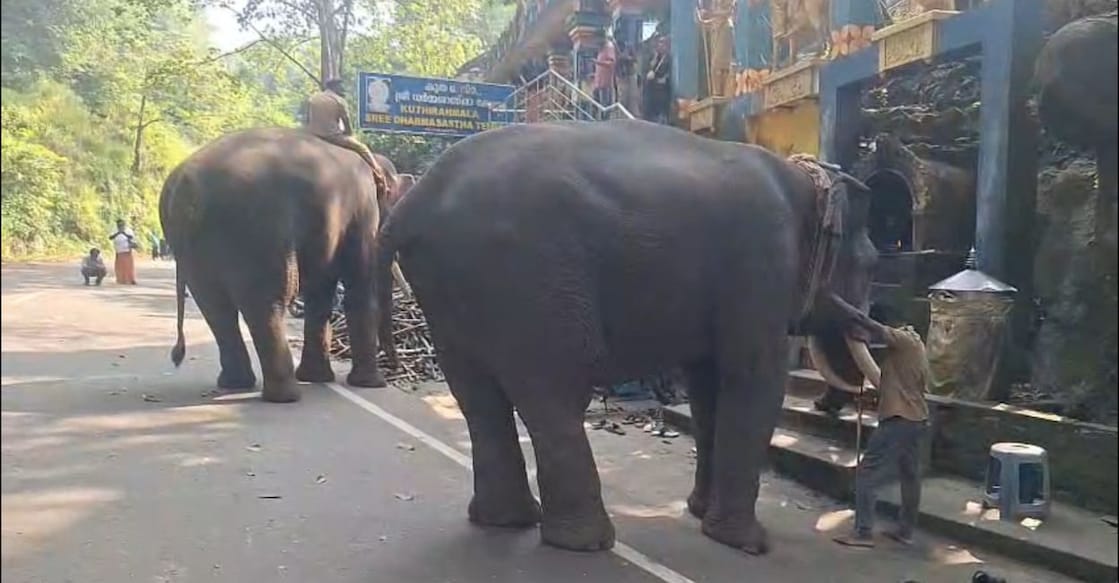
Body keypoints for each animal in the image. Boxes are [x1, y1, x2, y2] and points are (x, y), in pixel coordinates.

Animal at [160, 127, 389, 403]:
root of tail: (187, 185)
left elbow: (321, 293)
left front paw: (317, 378)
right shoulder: (363, 211)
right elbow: (359, 286)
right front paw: (371, 385)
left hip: (194, 246)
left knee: (215, 306)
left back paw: (237, 383)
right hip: (256, 228)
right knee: (268, 301)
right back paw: (286, 397)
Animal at [375, 120, 878, 553]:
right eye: (868, 264)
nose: (828, 408)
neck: (803, 179)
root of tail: (411, 205)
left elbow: (707, 386)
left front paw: (700, 514)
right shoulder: (763, 264)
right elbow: (753, 378)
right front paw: (750, 545)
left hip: (450, 293)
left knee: (477, 395)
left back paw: (508, 521)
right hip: (528, 282)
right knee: (553, 389)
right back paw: (585, 543)